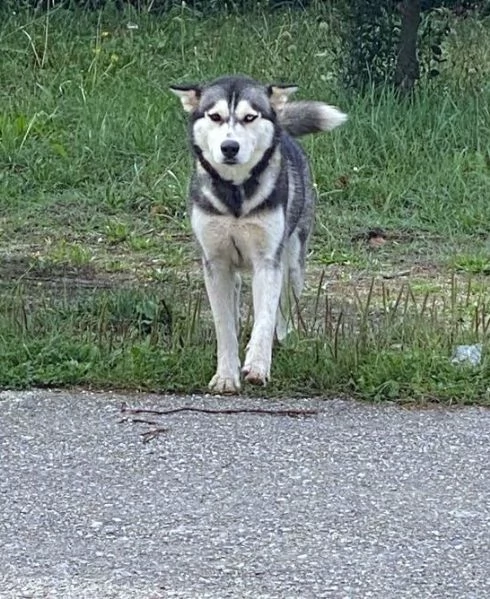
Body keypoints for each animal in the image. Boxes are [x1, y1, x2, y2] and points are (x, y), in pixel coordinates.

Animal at [170, 75, 346, 394]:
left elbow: (264, 319)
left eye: (249, 117)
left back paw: (282, 341)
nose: (229, 147)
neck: (236, 195)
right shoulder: (215, 263)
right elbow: (224, 326)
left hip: (293, 263)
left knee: (283, 308)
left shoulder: (267, 262)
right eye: (215, 116)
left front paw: (257, 366)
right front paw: (226, 375)